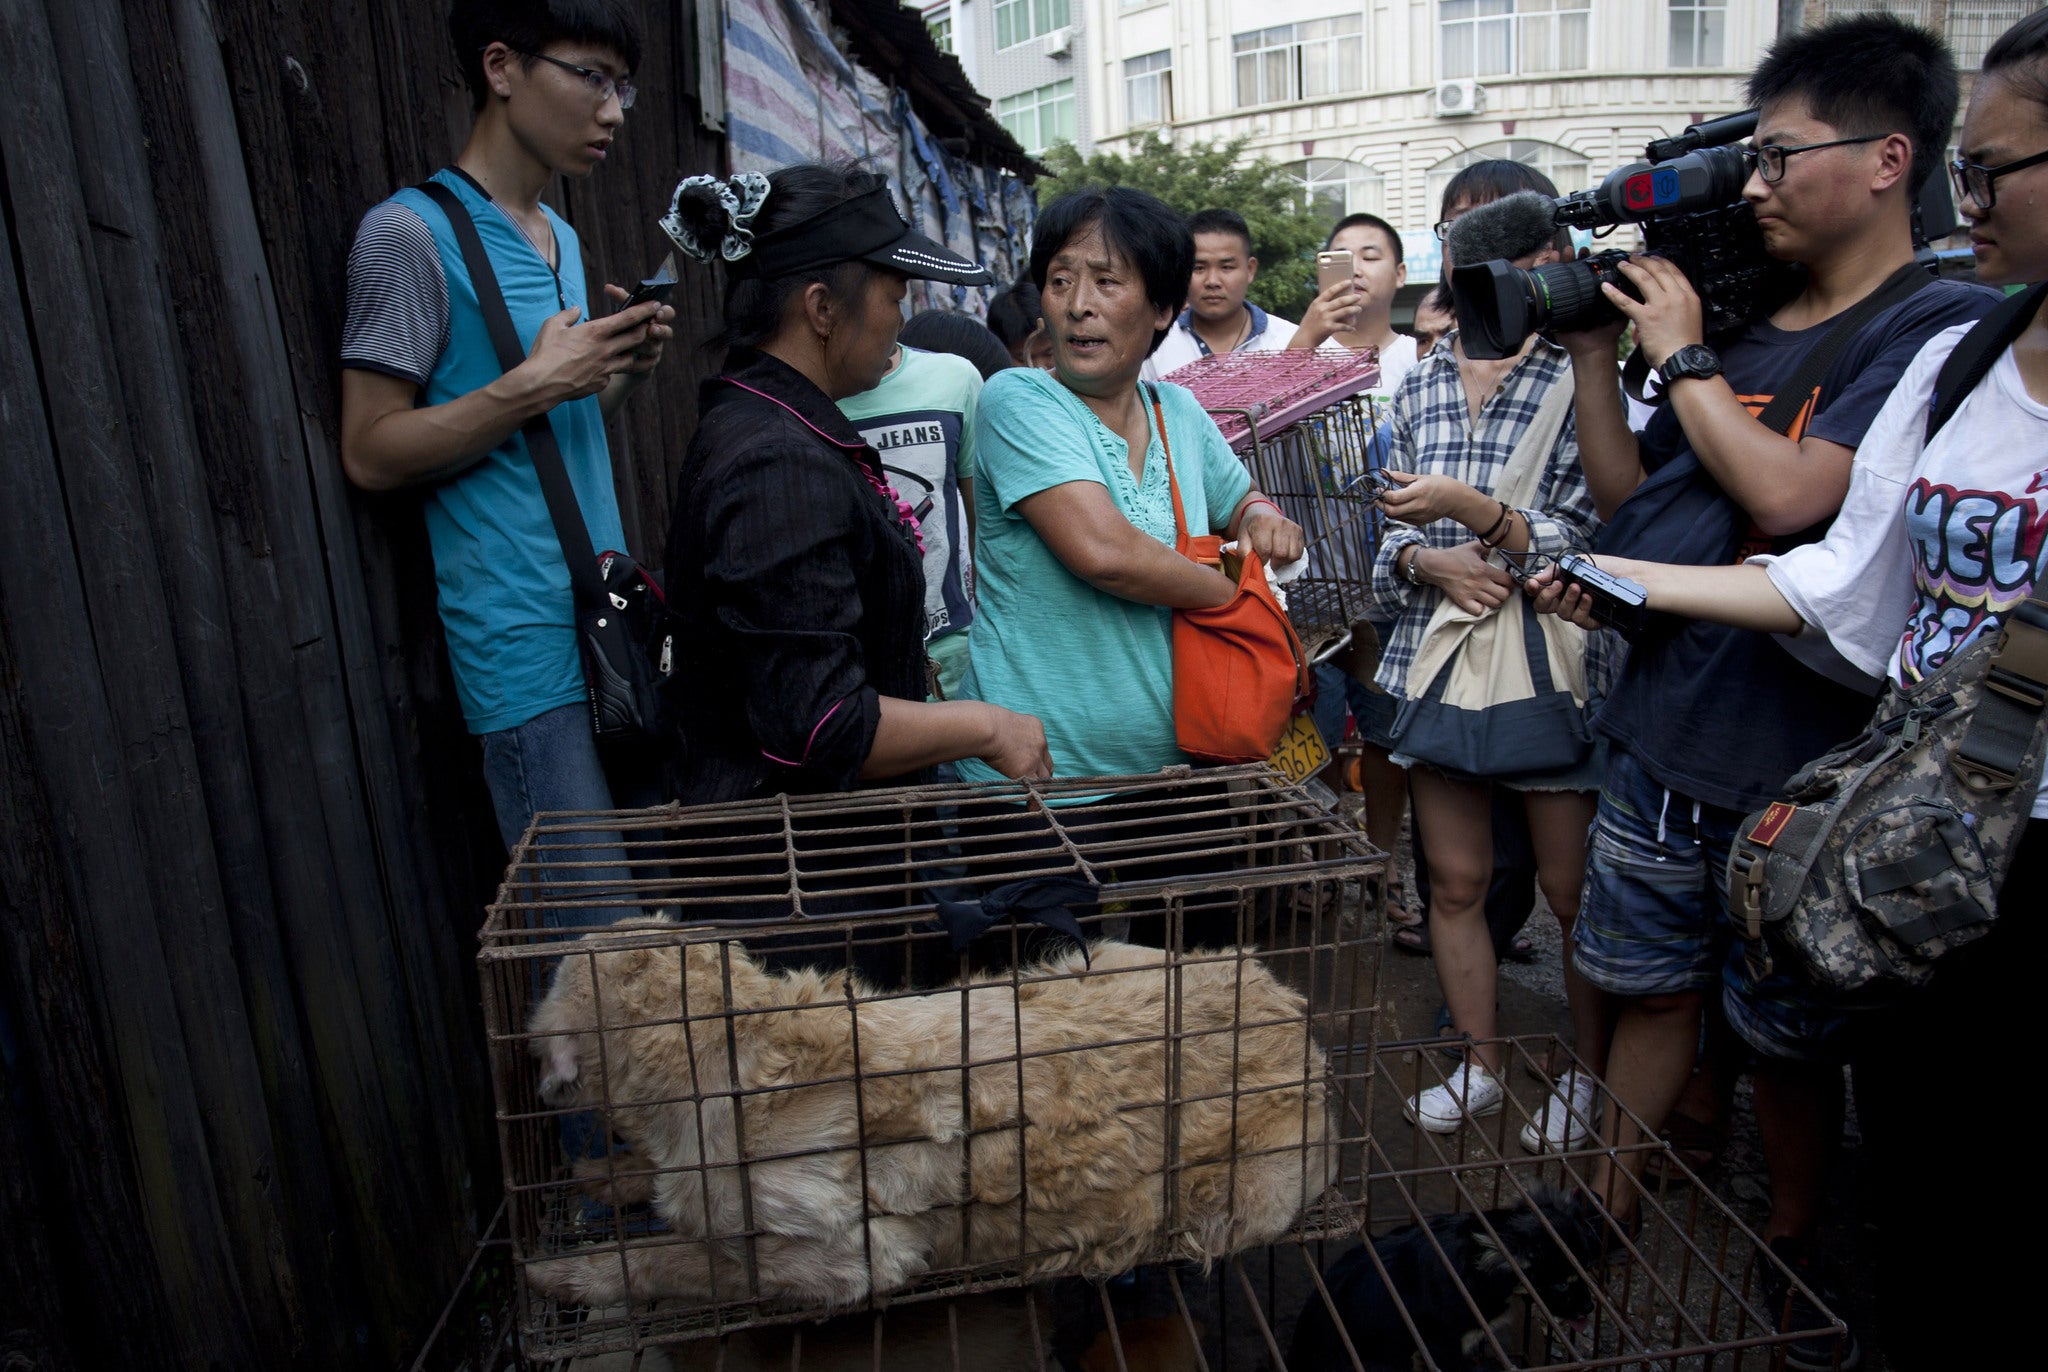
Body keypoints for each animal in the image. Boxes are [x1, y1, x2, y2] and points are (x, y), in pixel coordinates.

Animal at [520, 933, 1335, 1310]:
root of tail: (1298, 1020)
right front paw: (611, 1174)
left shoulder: (846, 1256)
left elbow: (687, 1260)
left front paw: (576, 1274)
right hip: (1082, 962)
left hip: (1244, 1197)